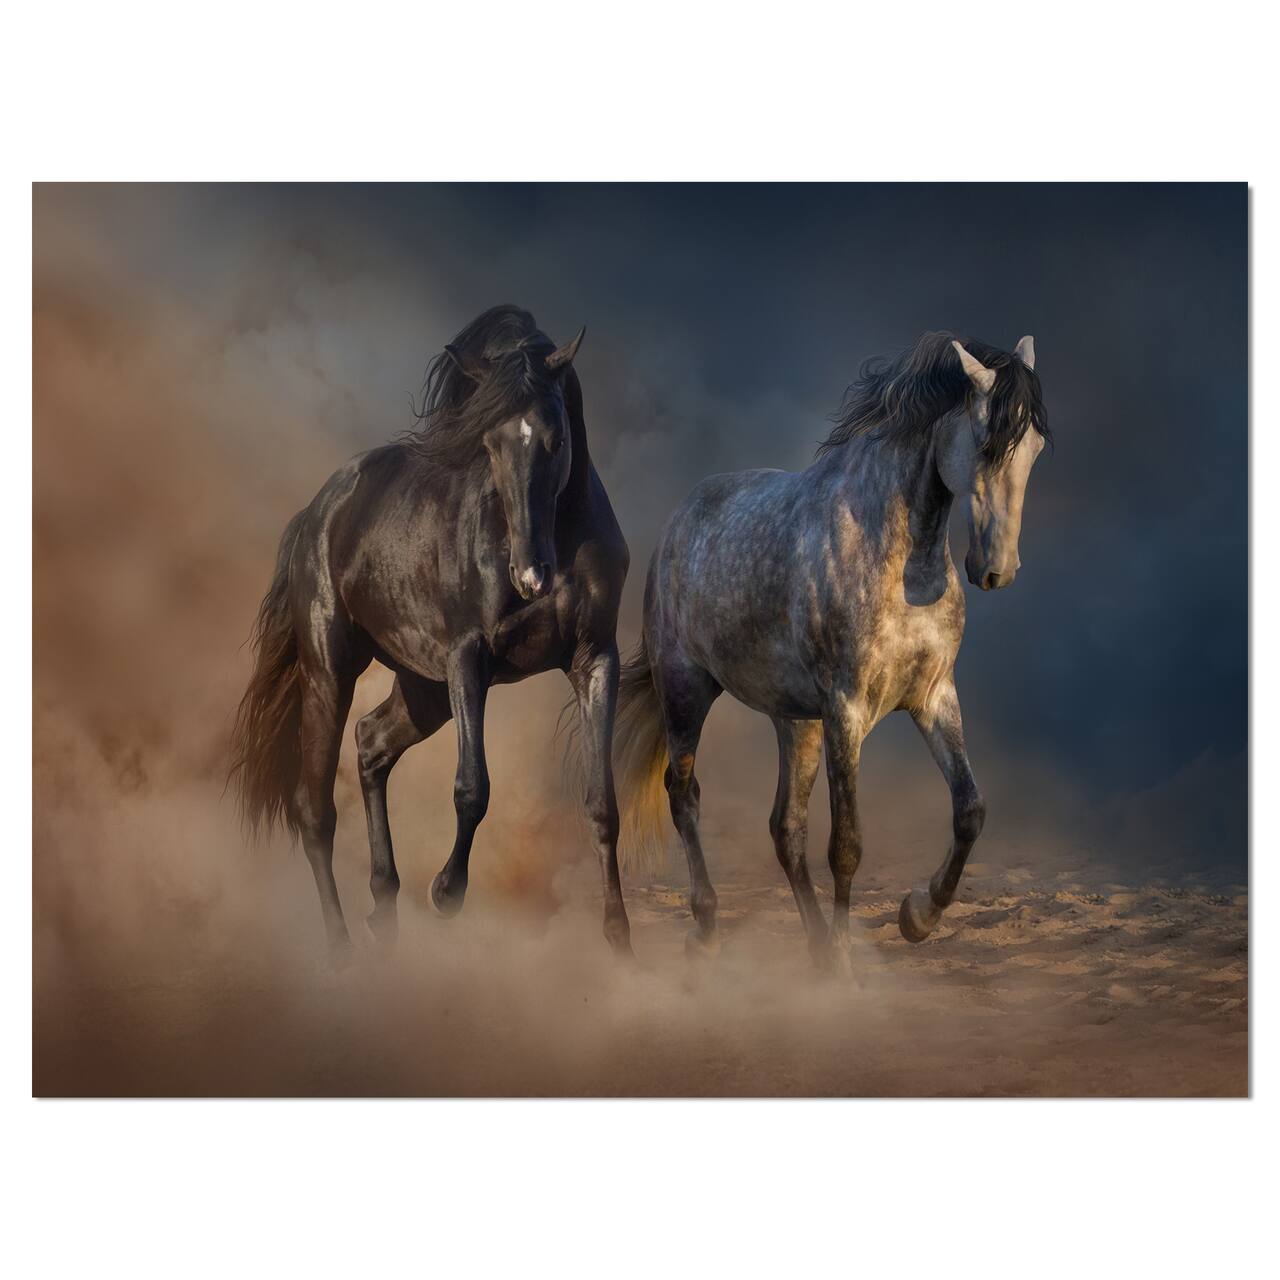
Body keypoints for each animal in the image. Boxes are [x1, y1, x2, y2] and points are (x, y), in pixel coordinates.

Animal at [230, 305, 633, 957]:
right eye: (489, 443)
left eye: (556, 439)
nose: (530, 576)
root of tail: (317, 513)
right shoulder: (469, 657)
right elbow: (472, 787)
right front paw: (446, 892)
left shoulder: (595, 659)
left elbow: (602, 801)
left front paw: (620, 939)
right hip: (331, 672)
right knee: (314, 808)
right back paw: (341, 950)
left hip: (423, 691)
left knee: (370, 744)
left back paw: (384, 909)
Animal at [603, 330, 1049, 968]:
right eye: (987, 445)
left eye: (1035, 446)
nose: (997, 570)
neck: (902, 563)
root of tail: (678, 521)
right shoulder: (847, 713)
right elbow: (847, 845)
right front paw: (845, 961)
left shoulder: (933, 697)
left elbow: (969, 810)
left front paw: (918, 916)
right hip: (688, 692)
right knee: (684, 796)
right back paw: (708, 927)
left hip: (796, 723)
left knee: (785, 828)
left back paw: (812, 943)